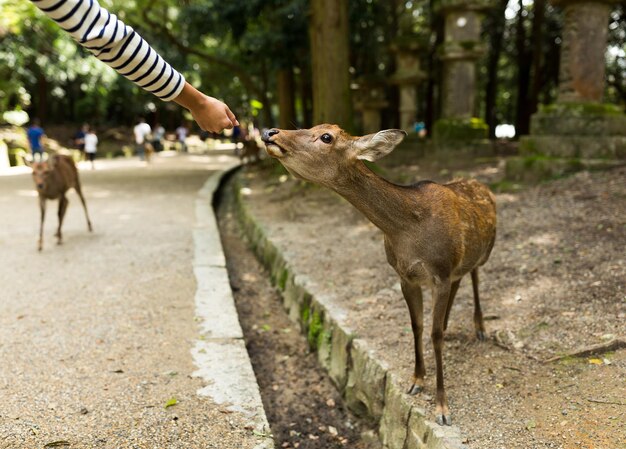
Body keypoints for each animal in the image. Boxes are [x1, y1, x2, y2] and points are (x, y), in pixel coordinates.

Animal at [260, 124, 494, 426]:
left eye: (326, 137)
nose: (270, 132)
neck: (408, 232)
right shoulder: (405, 276)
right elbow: (417, 326)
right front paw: (416, 380)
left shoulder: (440, 273)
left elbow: (434, 336)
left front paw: (442, 408)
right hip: (456, 267)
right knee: (460, 279)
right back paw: (449, 321)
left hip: (484, 251)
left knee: (475, 275)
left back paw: (480, 327)